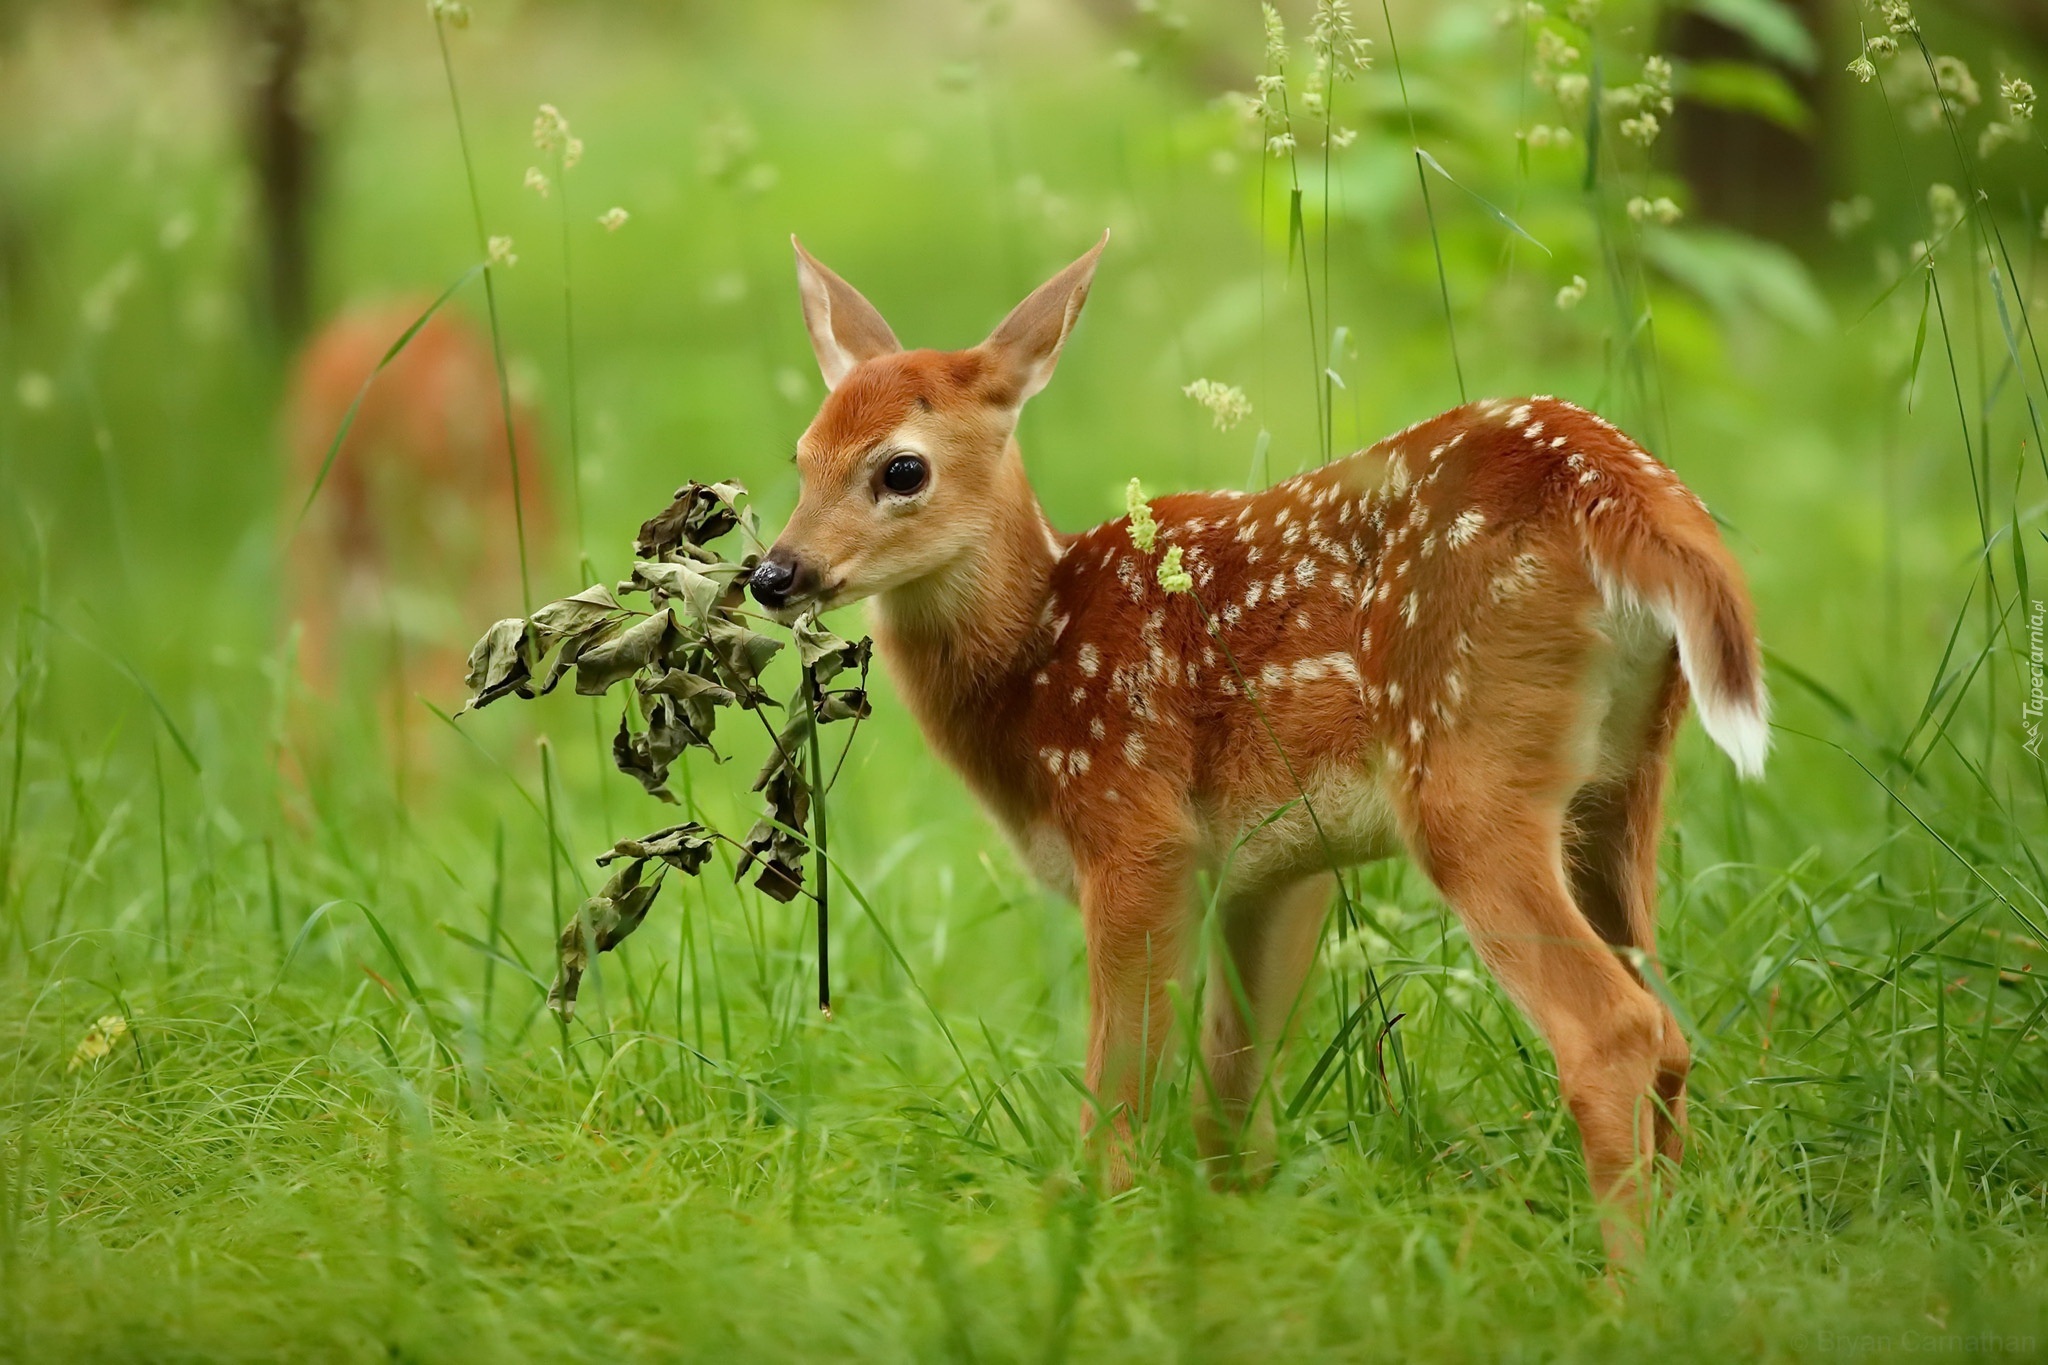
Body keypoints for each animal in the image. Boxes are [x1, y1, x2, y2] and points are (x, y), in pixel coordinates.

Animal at [745, 237, 1769, 1268]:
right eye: (800, 456)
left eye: (900, 470)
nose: (774, 573)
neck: (1034, 658)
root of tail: (1620, 488)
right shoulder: (1272, 866)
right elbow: (1230, 1099)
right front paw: (1230, 1238)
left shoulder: (1137, 828)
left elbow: (1123, 1089)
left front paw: (1089, 1233)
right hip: (1622, 781)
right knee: (1671, 1025)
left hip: (1465, 769)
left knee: (1613, 1029)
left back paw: (1624, 1284)